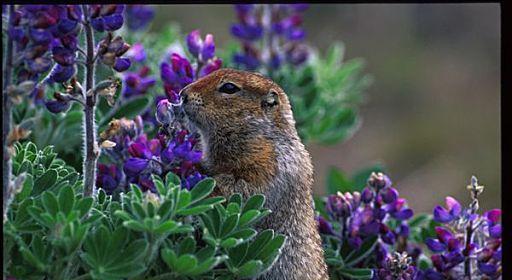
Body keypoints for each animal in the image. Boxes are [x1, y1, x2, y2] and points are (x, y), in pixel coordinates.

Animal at [180, 68, 326, 280]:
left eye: (229, 87)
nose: (183, 94)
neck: (260, 136)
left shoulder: (268, 166)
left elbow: (238, 192)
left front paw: (195, 167)